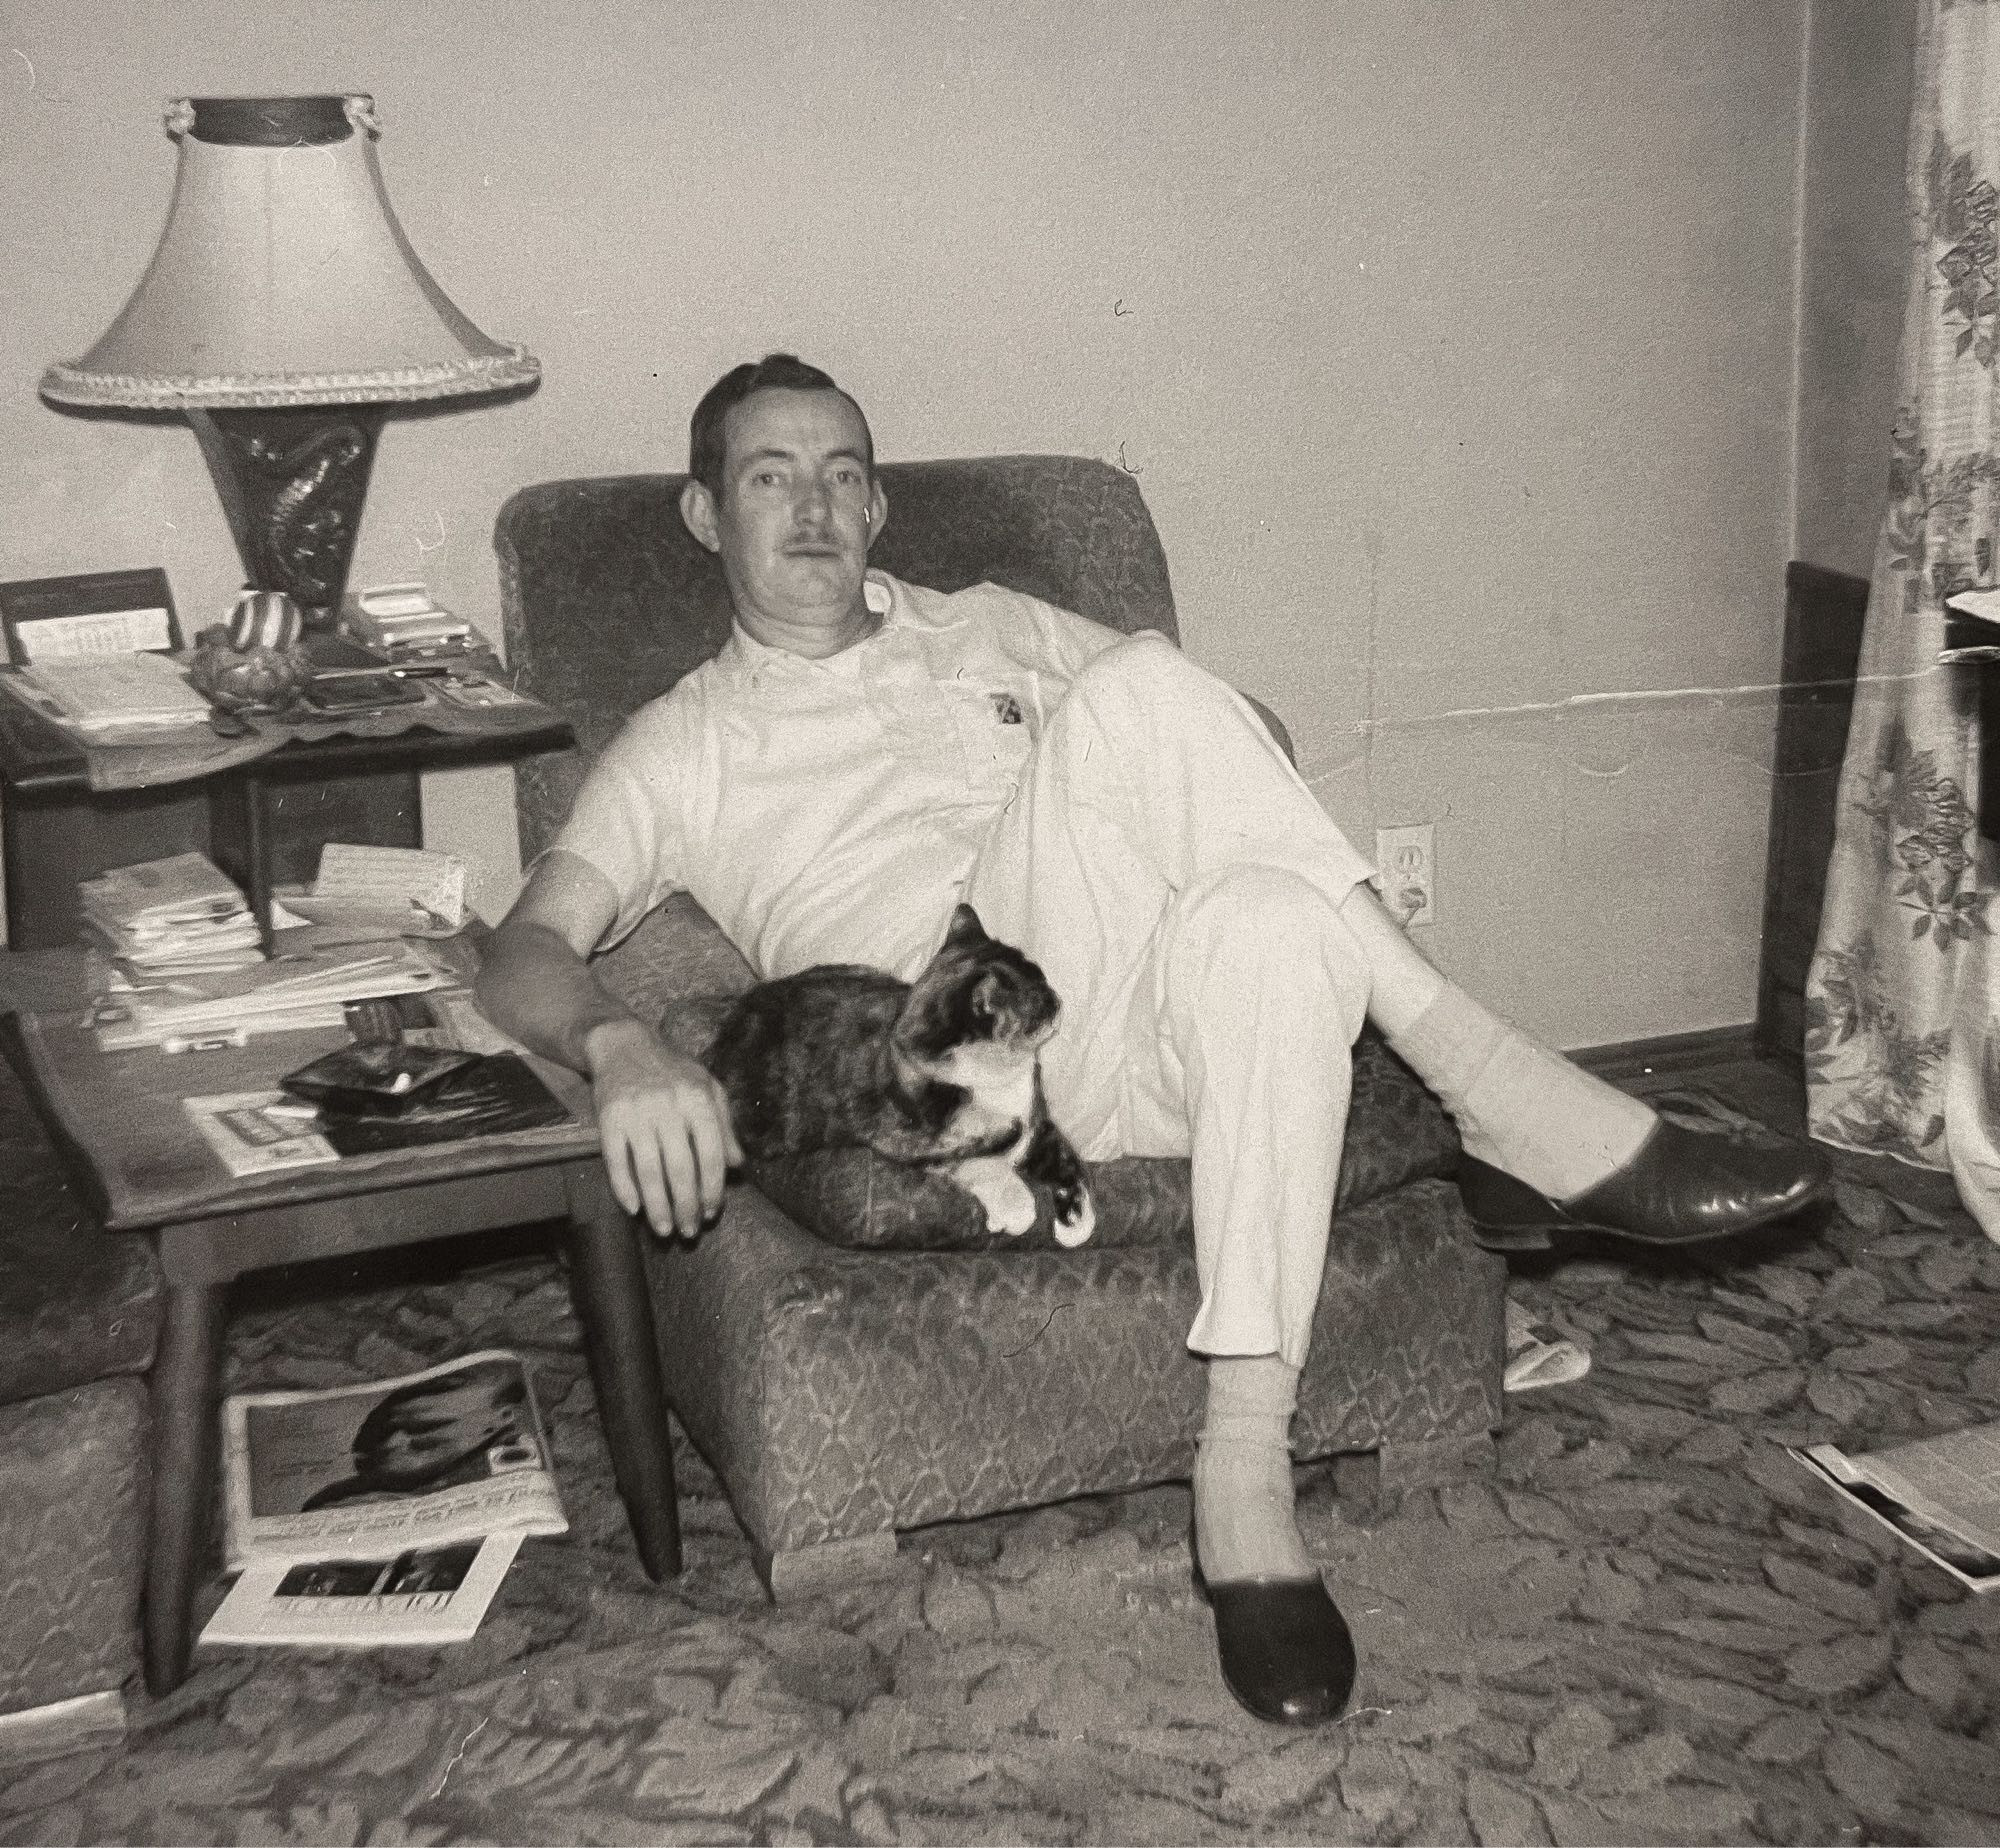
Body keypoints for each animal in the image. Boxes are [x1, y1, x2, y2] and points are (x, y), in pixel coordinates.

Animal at [708, 904, 1096, 1248]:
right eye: (1039, 1000)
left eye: (1043, 978)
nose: (1058, 999)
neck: (996, 1084)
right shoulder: (903, 1142)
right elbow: (975, 1163)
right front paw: (1017, 1208)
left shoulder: (1036, 1124)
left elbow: (1066, 1159)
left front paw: (1078, 1224)